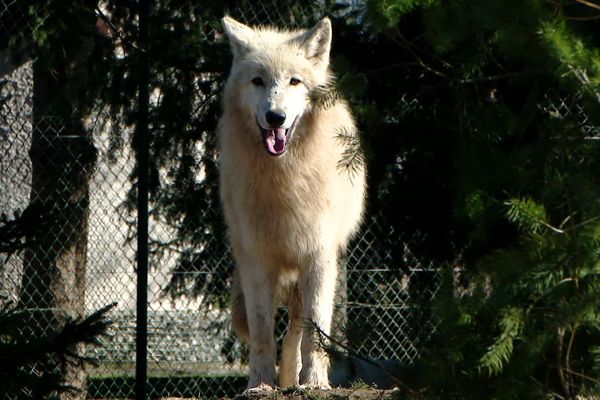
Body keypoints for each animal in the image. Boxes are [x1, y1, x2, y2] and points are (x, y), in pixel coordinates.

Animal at [217, 15, 364, 390]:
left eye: (294, 81)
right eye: (258, 81)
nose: (276, 117)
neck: (282, 181)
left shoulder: (318, 257)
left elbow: (314, 332)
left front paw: (314, 383)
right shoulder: (255, 260)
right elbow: (261, 332)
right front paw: (259, 385)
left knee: (298, 328)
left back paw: (292, 376)